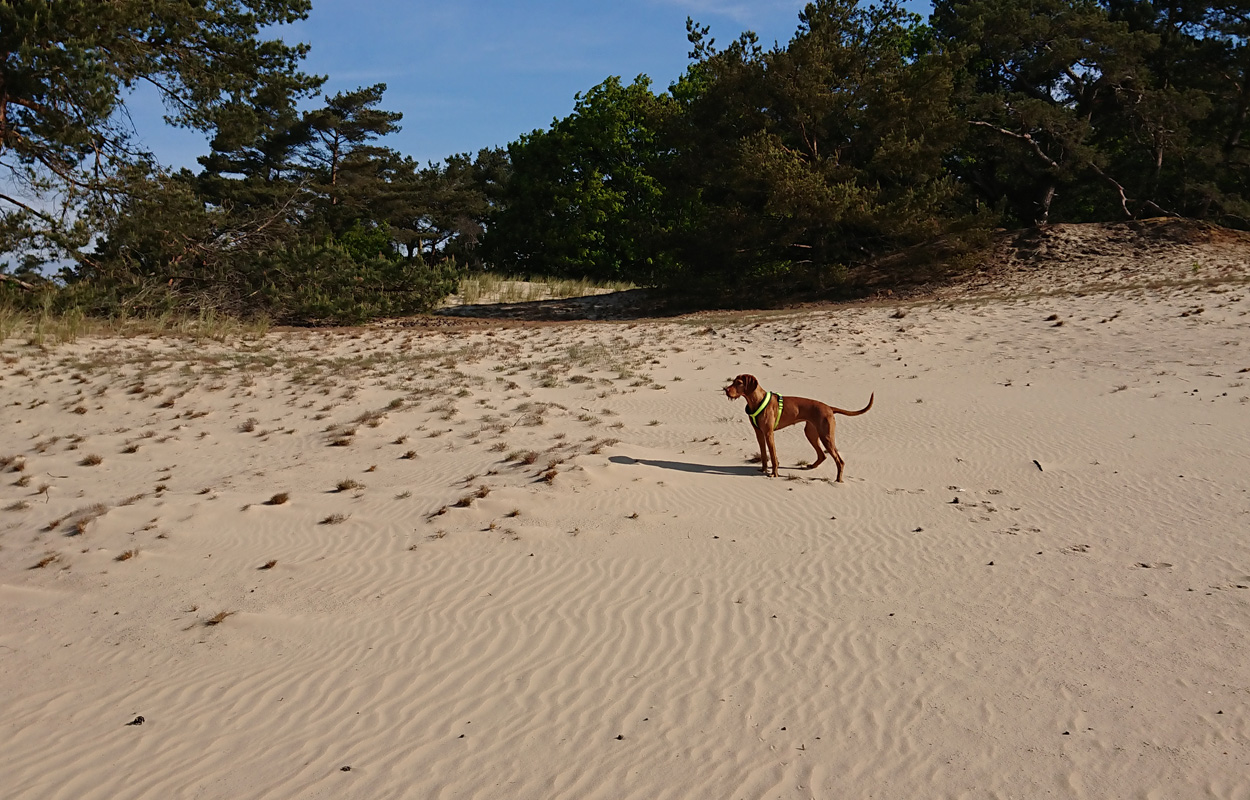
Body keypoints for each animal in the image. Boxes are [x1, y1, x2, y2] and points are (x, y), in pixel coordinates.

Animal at [723, 374, 873, 481]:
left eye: (739, 383)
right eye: (733, 381)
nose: (725, 390)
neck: (757, 401)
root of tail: (829, 408)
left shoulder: (769, 433)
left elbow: (773, 456)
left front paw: (774, 473)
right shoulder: (759, 433)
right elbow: (764, 455)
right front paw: (763, 469)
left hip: (826, 436)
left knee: (839, 461)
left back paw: (838, 480)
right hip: (811, 433)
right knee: (822, 455)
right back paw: (812, 466)